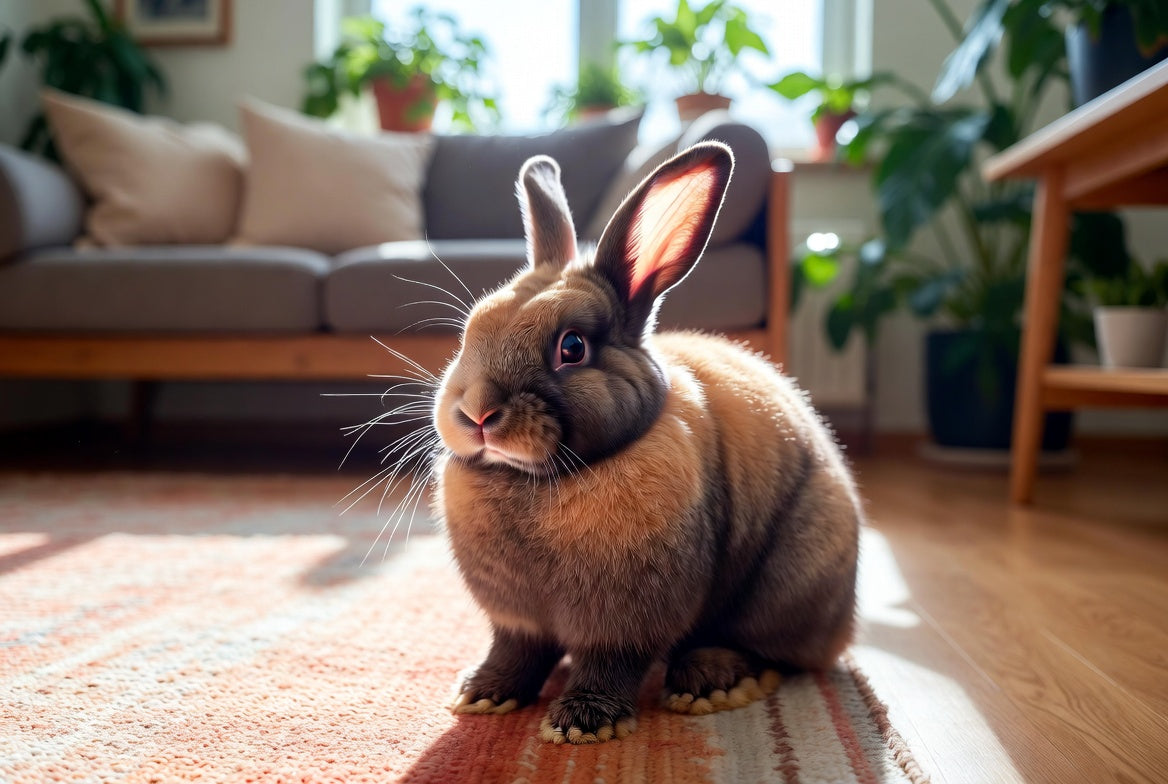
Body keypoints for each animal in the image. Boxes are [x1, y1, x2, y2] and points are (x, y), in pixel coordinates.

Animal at [431, 141, 862, 745]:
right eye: (471, 330)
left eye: (571, 347)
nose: (476, 414)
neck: (541, 479)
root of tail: (842, 621)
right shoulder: (517, 622)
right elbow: (515, 652)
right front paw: (484, 694)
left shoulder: (624, 625)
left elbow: (609, 664)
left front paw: (580, 724)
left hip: (785, 585)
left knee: (764, 648)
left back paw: (711, 682)